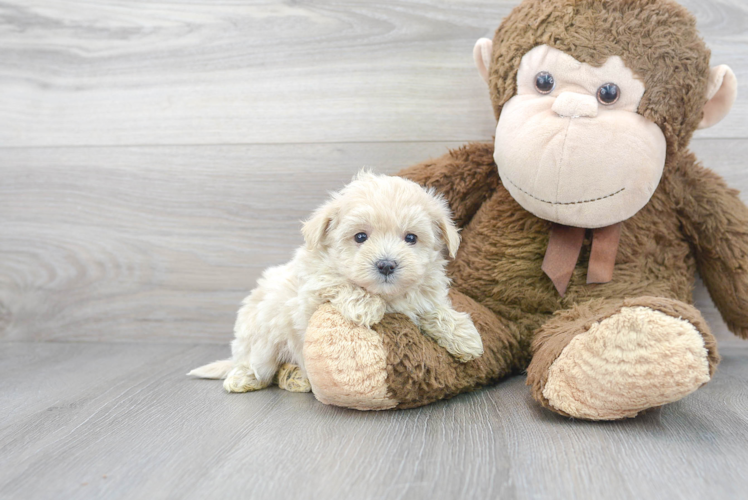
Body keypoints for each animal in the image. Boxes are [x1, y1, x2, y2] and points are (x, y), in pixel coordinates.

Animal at [187, 170, 486, 392]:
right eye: (360, 237)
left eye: (411, 238)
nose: (386, 264)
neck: (388, 295)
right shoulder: (309, 293)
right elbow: (337, 281)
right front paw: (367, 305)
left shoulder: (423, 294)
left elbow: (433, 309)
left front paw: (464, 335)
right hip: (263, 333)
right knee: (259, 365)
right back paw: (244, 378)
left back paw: (296, 378)